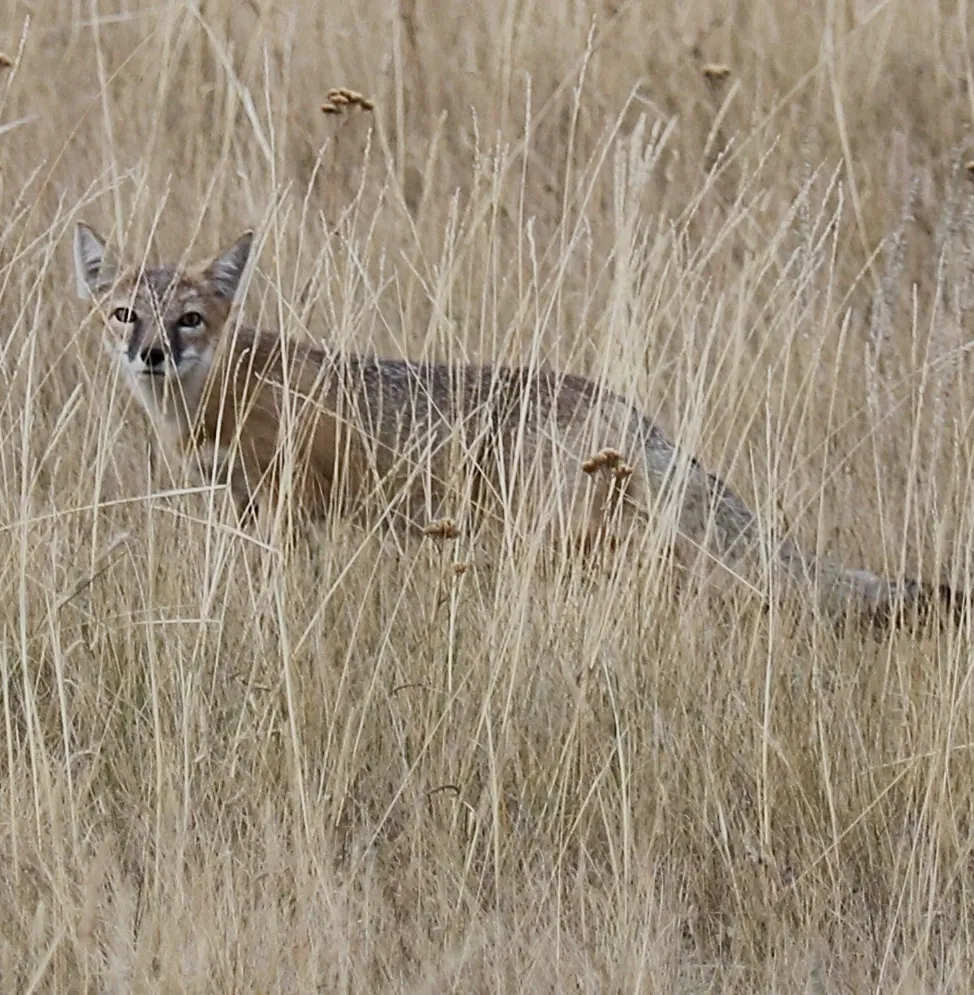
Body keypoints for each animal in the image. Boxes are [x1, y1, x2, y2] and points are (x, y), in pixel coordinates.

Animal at [73, 220, 963, 633]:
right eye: (124, 314)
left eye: (188, 319)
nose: (150, 354)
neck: (215, 393)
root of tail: (620, 403)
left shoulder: (288, 507)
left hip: (574, 544)